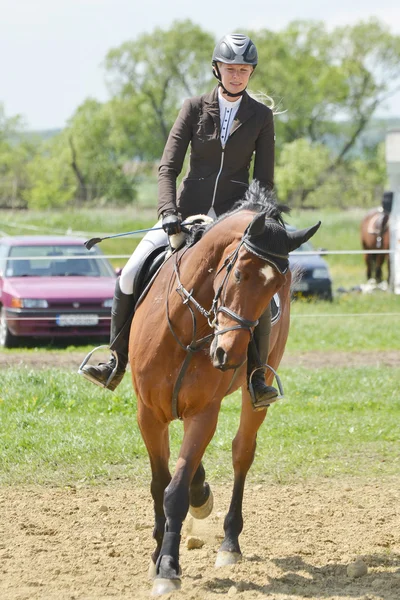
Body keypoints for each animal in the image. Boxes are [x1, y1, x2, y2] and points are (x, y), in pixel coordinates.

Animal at [129, 185, 322, 596]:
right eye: (239, 272)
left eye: (275, 287)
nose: (228, 355)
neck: (187, 330)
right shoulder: (148, 413)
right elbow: (159, 483)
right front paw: (157, 556)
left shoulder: (204, 412)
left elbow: (174, 492)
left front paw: (168, 568)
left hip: (255, 393)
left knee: (242, 453)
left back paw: (229, 544)